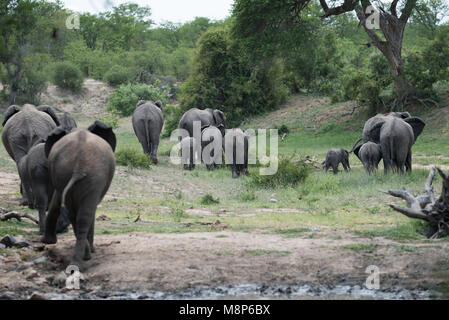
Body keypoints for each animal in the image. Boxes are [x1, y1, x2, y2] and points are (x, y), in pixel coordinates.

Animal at [41, 120, 116, 270]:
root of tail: (79, 165)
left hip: (72, 173)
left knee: (77, 215)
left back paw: (81, 259)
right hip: (90, 176)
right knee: (82, 215)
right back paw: (86, 256)